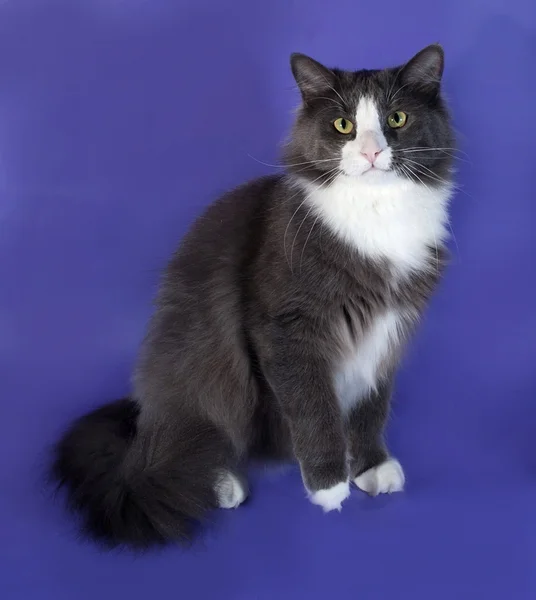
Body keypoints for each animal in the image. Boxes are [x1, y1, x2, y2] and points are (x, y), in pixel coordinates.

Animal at [53, 43, 456, 548]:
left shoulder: (388, 330)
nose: (370, 151)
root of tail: (142, 416)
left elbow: (370, 407)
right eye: (343, 125)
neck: (378, 217)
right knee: (194, 439)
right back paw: (222, 483)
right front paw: (328, 486)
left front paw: (370, 467)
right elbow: (314, 409)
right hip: (203, 359)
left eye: (396, 118)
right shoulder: (287, 331)